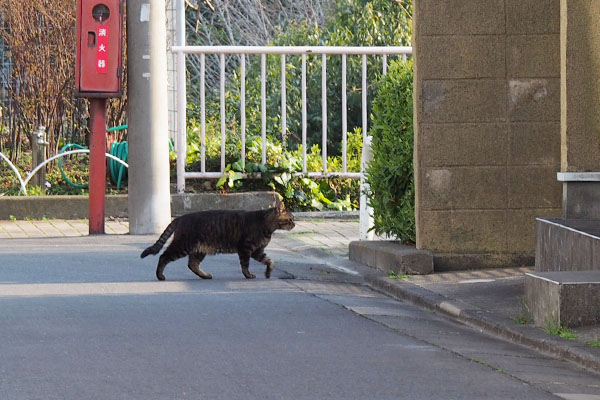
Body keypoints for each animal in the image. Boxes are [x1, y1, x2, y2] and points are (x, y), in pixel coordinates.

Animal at [138, 203, 292, 282]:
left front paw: (268, 273)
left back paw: (205, 275)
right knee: (163, 256)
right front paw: (248, 275)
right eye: (290, 219)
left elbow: (270, 261)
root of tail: (180, 218)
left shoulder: (257, 251)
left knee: (192, 264)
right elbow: (245, 265)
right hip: (182, 245)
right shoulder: (246, 249)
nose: (294, 224)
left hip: (199, 250)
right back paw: (160, 276)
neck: (267, 227)